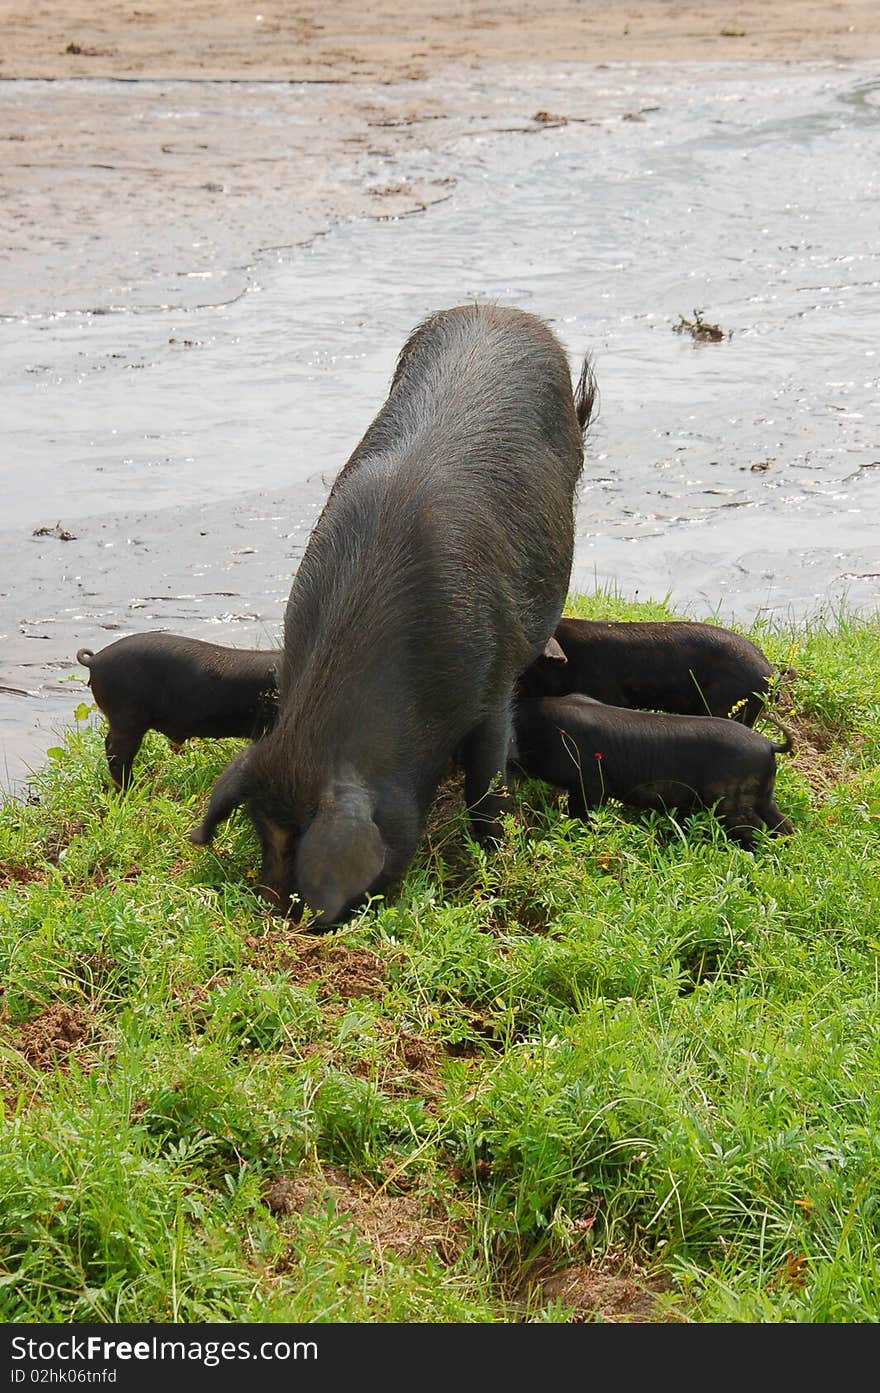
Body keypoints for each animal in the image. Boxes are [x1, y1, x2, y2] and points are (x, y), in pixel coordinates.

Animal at [189, 305, 595, 924]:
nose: (280, 912)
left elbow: (486, 780)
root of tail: (500, 310)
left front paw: (496, 854)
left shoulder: (492, 679)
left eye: (304, 840)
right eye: (261, 832)